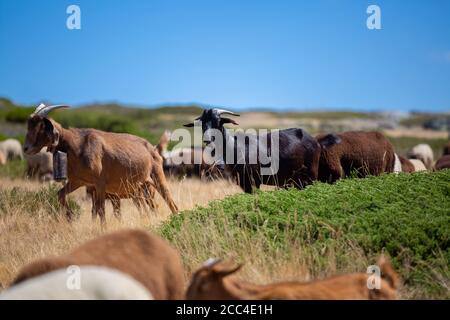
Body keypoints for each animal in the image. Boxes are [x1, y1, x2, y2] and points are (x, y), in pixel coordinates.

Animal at [23, 104, 178, 224]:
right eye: (29, 125)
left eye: (41, 126)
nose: (25, 148)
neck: (77, 145)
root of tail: (153, 148)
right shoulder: (80, 182)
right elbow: (61, 195)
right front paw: (70, 217)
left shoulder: (100, 184)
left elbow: (101, 210)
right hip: (142, 188)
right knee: (153, 207)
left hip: (156, 178)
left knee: (171, 203)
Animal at [185, 109, 322, 192]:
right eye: (203, 123)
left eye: (218, 121)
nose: (207, 138)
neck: (234, 147)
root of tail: (313, 140)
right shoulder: (243, 183)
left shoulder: (254, 181)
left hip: (311, 174)